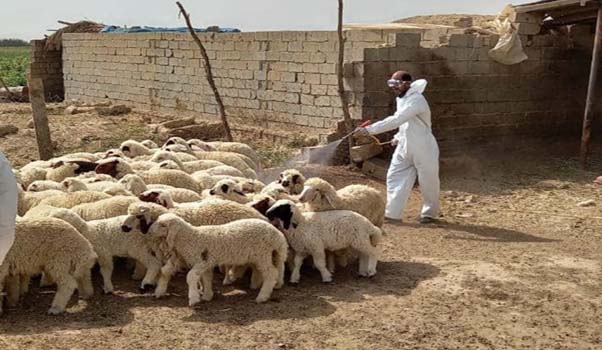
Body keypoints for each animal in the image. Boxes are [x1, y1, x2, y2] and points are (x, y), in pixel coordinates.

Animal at [146, 213, 284, 304]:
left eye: (163, 225)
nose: (148, 231)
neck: (191, 238)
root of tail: (277, 235)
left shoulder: (202, 261)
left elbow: (190, 277)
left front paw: (194, 298)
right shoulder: (204, 262)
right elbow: (205, 278)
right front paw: (207, 295)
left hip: (263, 254)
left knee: (271, 273)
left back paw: (262, 296)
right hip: (259, 256)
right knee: (264, 271)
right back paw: (257, 286)